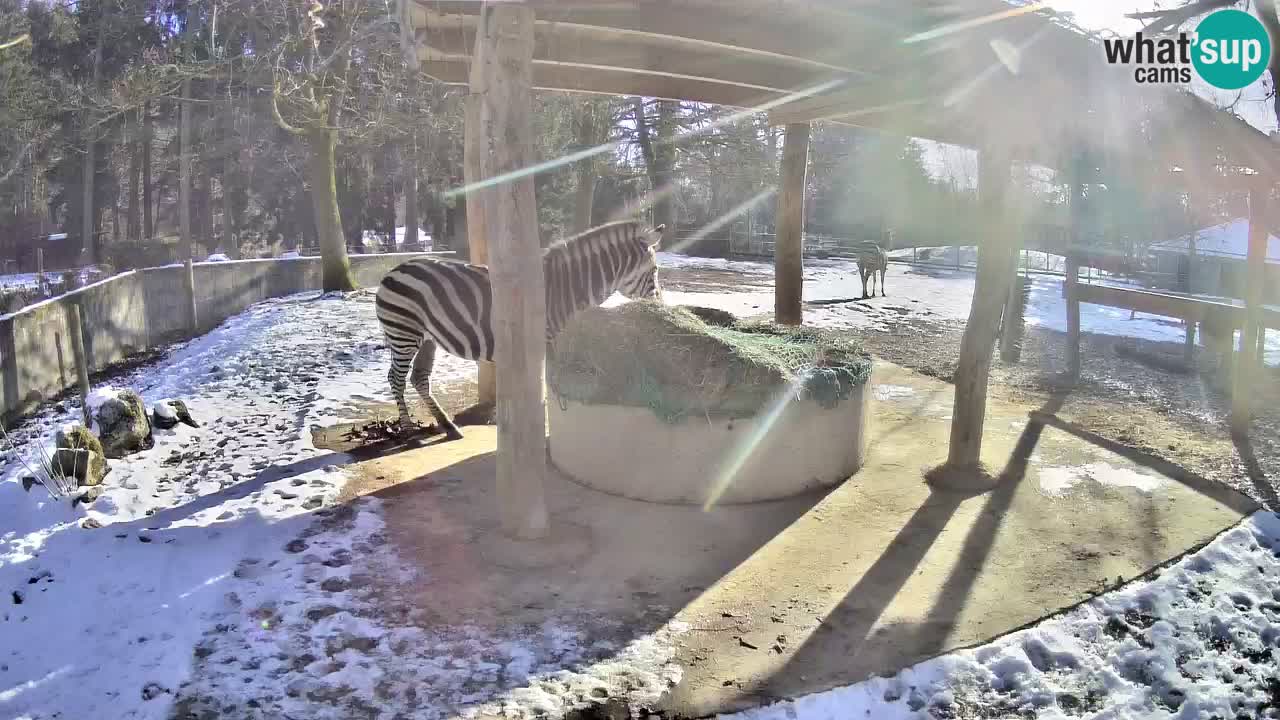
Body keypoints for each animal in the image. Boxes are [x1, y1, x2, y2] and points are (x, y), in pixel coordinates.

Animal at [373, 219, 665, 438]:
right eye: (655, 270)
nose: (660, 305)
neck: (565, 288)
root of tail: (392, 270)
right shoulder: (543, 340)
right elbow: (543, 385)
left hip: (427, 339)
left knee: (419, 378)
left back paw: (449, 427)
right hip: (404, 333)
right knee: (396, 378)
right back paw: (408, 430)